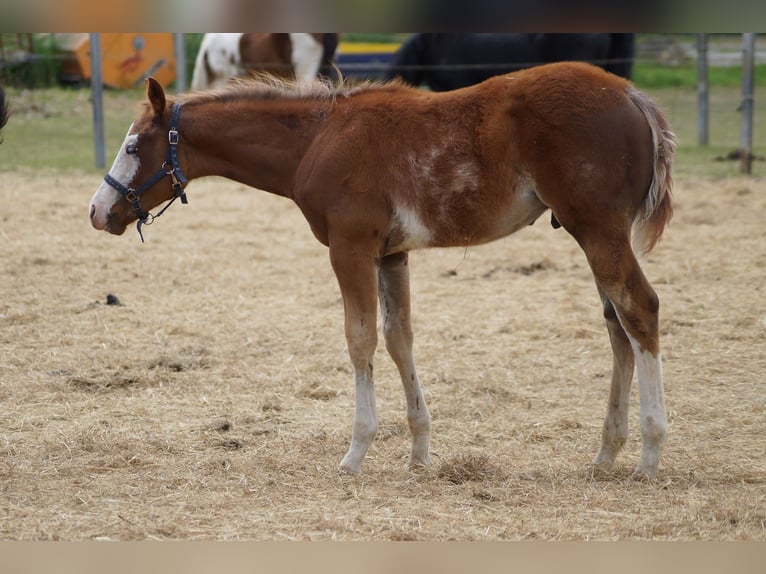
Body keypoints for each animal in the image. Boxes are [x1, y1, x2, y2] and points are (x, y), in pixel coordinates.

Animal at [89, 62, 676, 479]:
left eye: (134, 145)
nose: (99, 211)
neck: (319, 139)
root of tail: (632, 96)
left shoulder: (350, 249)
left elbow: (360, 340)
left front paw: (355, 452)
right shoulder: (392, 255)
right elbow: (399, 339)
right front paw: (419, 450)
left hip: (597, 230)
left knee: (641, 309)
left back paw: (649, 455)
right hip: (590, 234)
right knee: (617, 326)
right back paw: (606, 454)